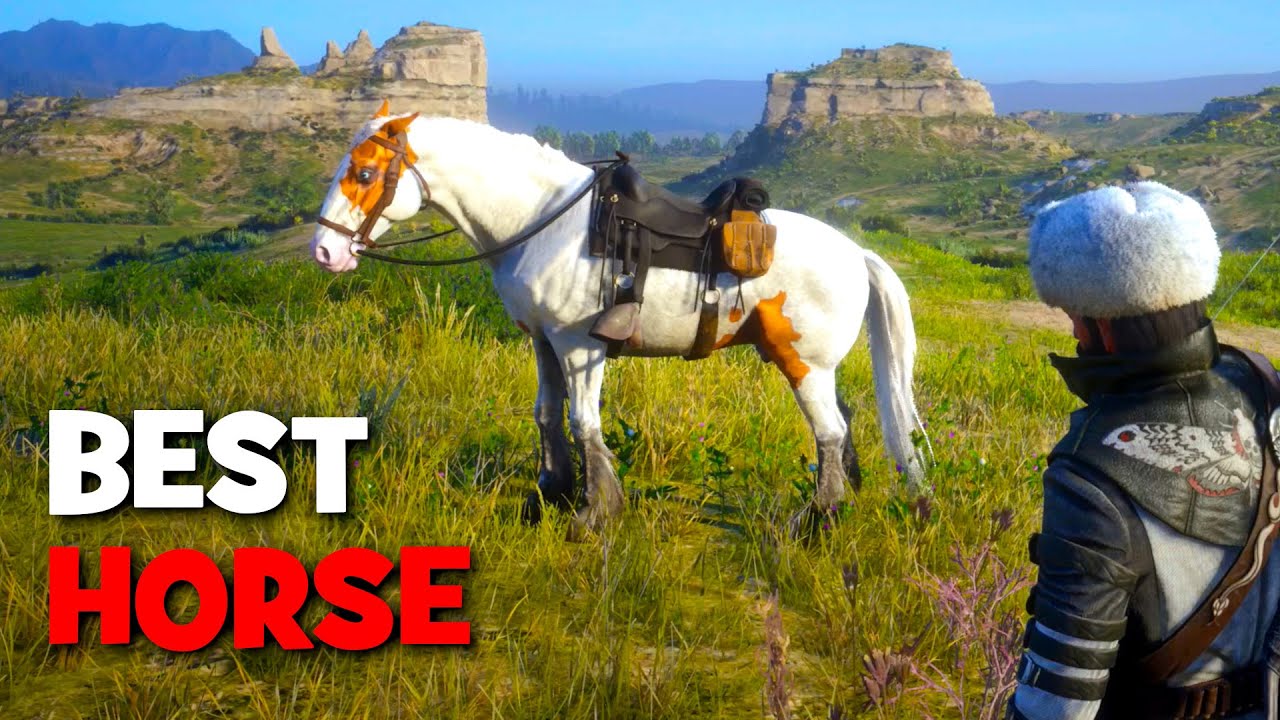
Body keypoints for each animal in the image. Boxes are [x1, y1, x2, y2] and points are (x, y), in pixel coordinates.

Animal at [310, 101, 929, 533]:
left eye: (363, 174)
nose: (325, 252)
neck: (542, 220)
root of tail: (857, 253)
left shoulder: (579, 344)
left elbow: (585, 422)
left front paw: (596, 511)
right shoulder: (543, 340)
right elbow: (547, 414)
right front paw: (551, 491)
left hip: (803, 363)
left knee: (829, 431)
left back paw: (819, 519)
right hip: (810, 363)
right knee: (842, 423)